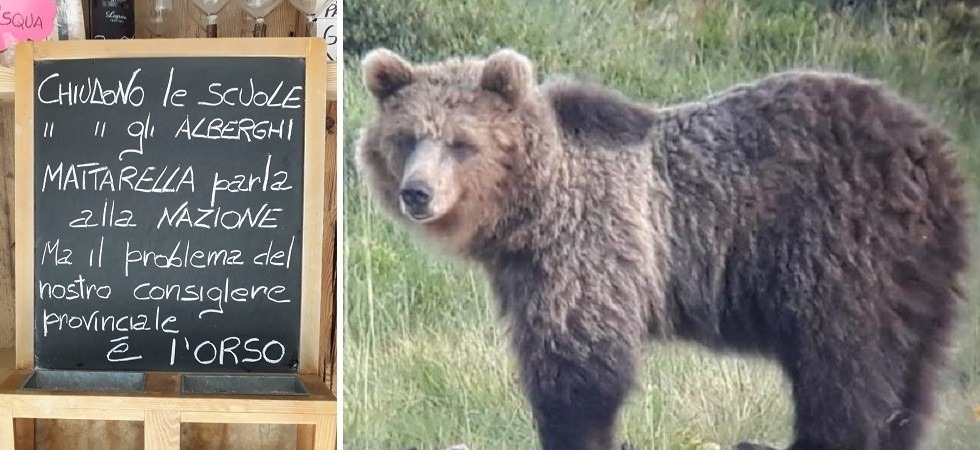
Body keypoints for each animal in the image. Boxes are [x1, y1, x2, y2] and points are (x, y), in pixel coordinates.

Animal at [354, 48, 970, 450]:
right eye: (406, 137)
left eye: (462, 143)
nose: (417, 192)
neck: (531, 208)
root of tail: (932, 149)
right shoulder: (525, 271)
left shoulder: (591, 244)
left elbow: (580, 368)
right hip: (916, 274)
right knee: (908, 378)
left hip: (841, 246)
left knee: (844, 366)